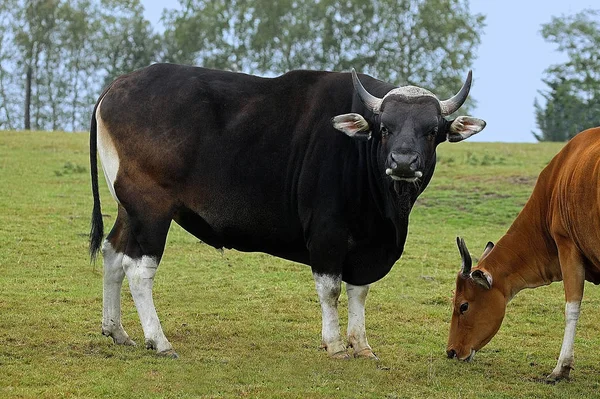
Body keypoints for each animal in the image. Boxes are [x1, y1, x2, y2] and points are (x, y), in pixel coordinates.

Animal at [89, 63, 486, 360]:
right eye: (384, 128)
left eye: (431, 130)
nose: (403, 162)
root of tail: (118, 85)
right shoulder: (327, 235)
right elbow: (331, 290)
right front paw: (336, 345)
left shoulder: (369, 246)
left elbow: (359, 292)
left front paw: (362, 346)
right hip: (151, 210)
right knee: (138, 270)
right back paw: (159, 341)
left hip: (128, 208)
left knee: (112, 252)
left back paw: (116, 330)